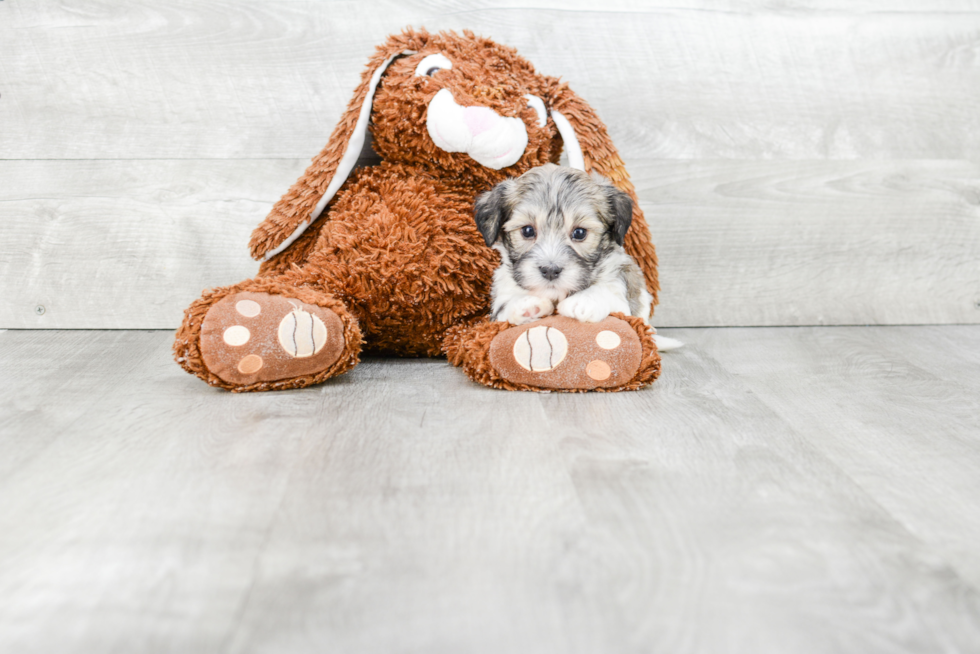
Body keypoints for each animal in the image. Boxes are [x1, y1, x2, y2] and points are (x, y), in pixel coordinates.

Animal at [472, 163, 652, 328]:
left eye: (579, 233)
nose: (550, 270)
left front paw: (585, 300)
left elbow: (609, 290)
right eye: (528, 230)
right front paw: (524, 303)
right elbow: (504, 304)